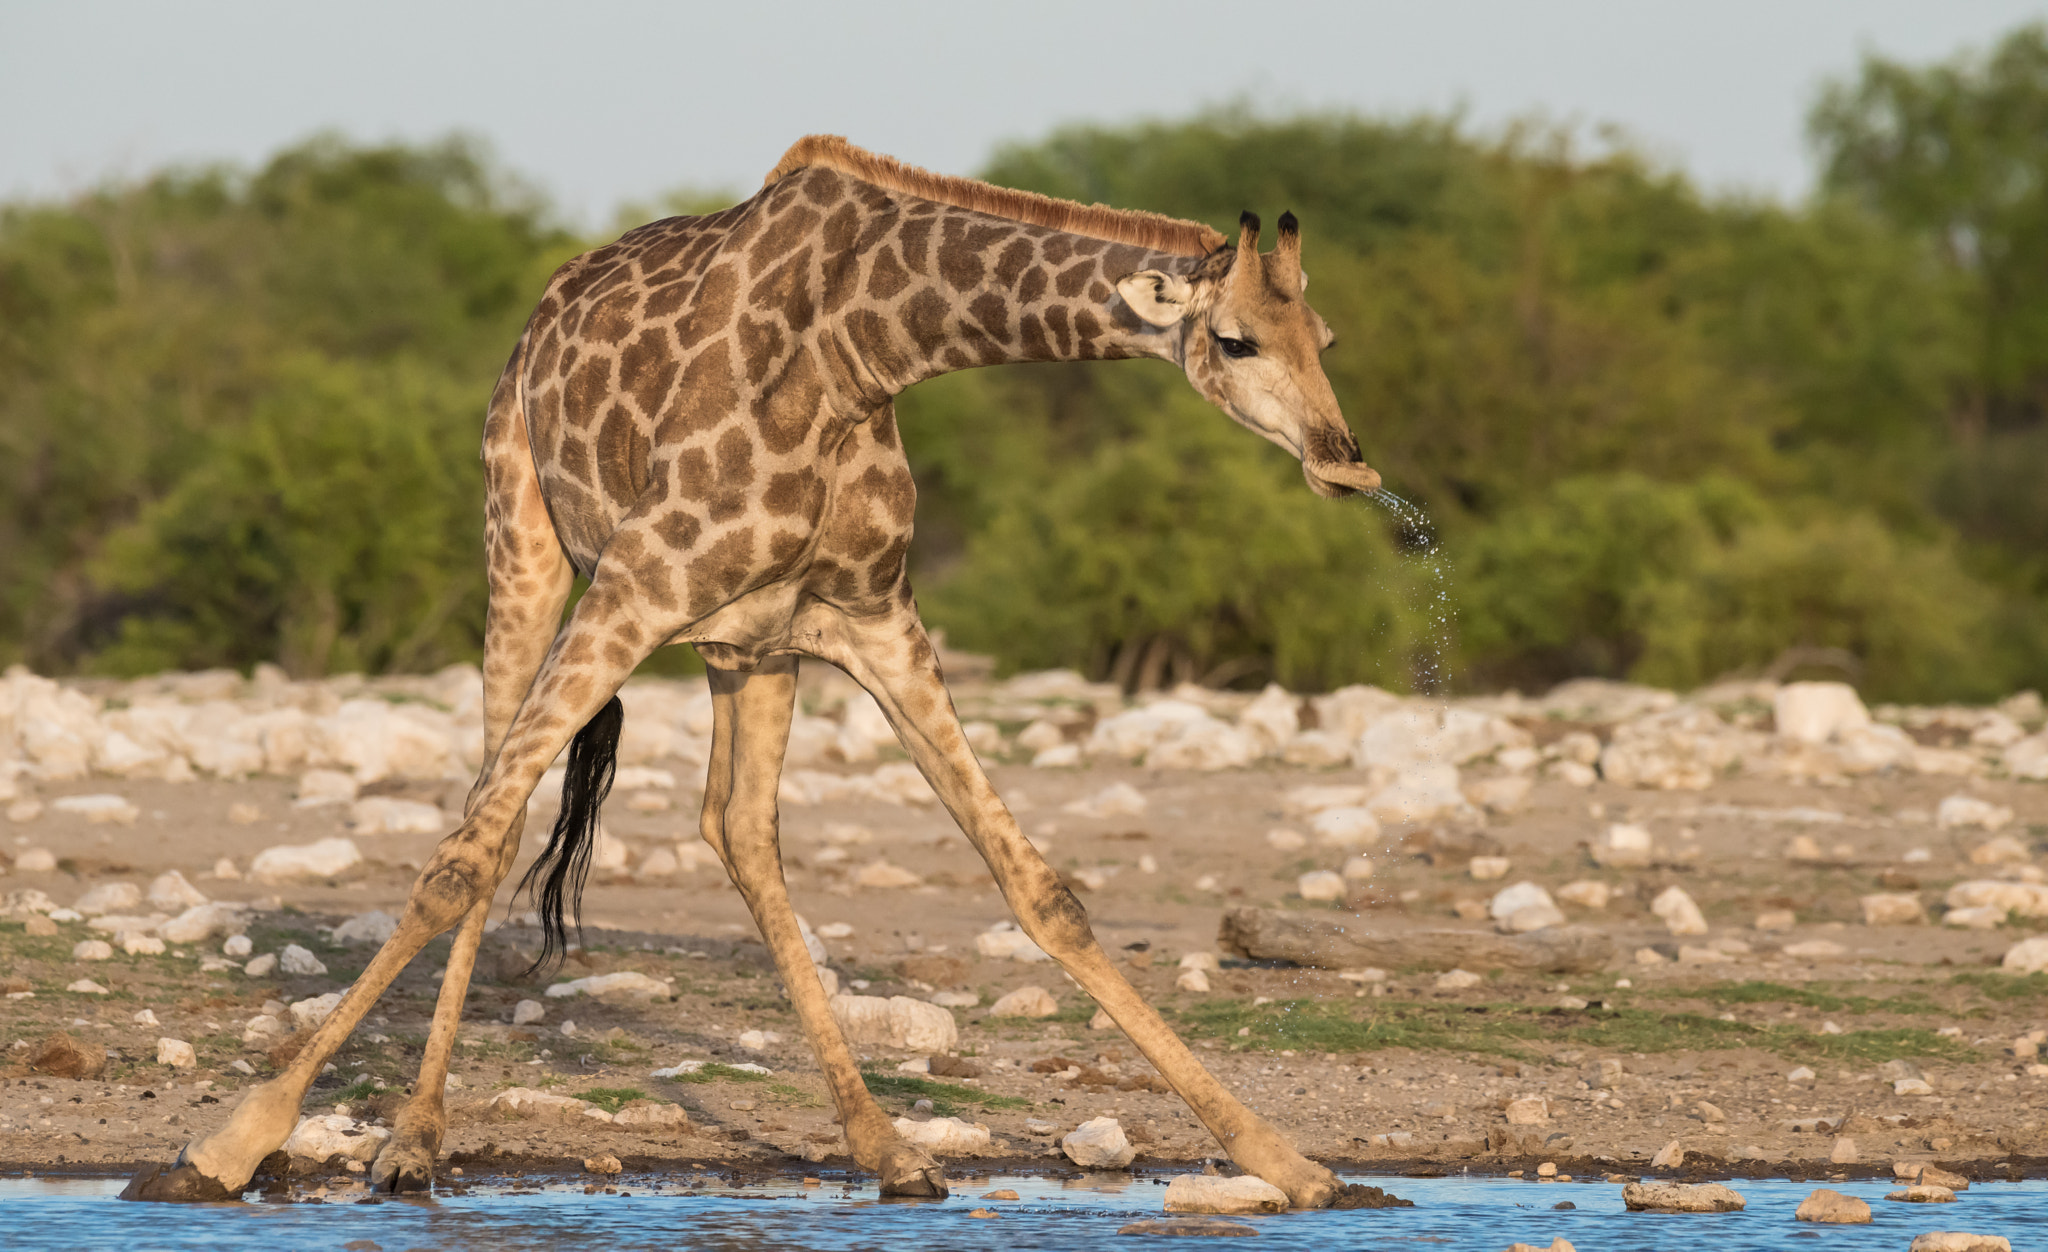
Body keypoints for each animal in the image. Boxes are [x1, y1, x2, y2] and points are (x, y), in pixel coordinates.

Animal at [119, 137, 1384, 1213]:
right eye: (1236, 341)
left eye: (1325, 337)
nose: (1345, 463)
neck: (868, 346)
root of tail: (542, 308)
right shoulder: (636, 584)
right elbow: (458, 859)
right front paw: (221, 1145)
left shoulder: (870, 615)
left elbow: (1038, 888)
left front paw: (1292, 1161)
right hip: (522, 548)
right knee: (495, 815)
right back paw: (413, 1142)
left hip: (746, 648)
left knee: (733, 826)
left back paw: (888, 1149)